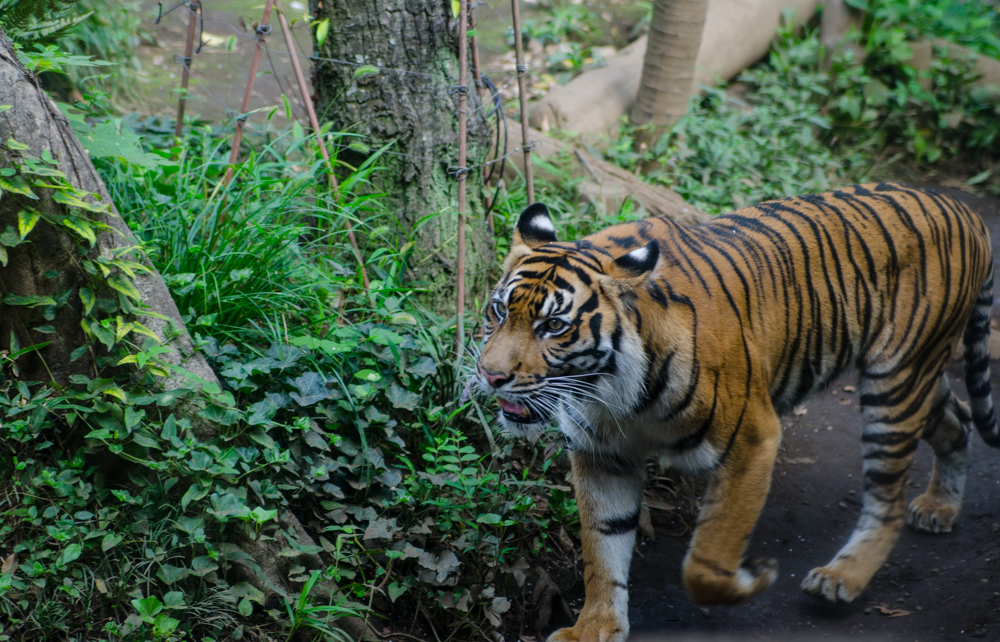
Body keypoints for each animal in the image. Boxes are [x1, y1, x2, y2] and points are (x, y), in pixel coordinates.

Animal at [472, 181, 996, 640]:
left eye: (554, 326)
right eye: (498, 311)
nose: (490, 375)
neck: (611, 389)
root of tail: (962, 210)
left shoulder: (753, 438)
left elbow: (707, 559)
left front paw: (756, 578)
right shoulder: (602, 454)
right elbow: (602, 549)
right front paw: (595, 628)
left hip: (895, 382)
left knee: (888, 499)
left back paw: (842, 577)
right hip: (918, 377)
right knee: (958, 420)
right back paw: (940, 506)